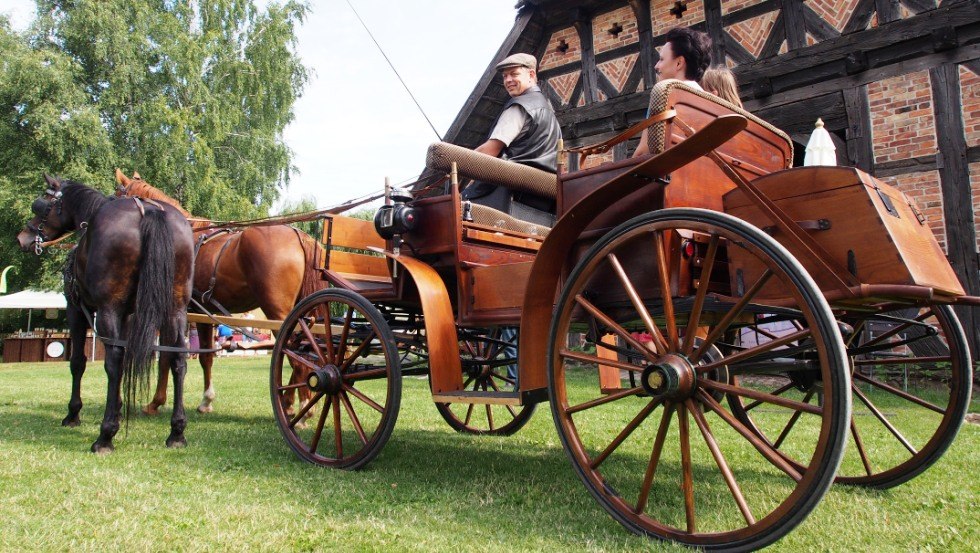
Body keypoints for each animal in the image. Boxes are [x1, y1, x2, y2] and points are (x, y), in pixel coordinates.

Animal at [15, 175, 193, 450]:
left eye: (42, 204)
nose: (22, 238)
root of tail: (149, 211)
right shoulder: (128, 314)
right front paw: (118, 406)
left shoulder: (77, 310)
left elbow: (78, 362)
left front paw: (74, 414)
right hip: (176, 308)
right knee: (177, 359)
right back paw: (176, 432)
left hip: (108, 308)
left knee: (114, 360)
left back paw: (105, 436)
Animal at [114, 170, 322, 412]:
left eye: (116, 195)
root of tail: (298, 235)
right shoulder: (205, 314)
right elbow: (206, 357)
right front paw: (206, 400)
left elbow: (168, 354)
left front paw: (157, 402)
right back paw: (295, 400)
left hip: (279, 313)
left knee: (295, 355)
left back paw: (298, 405)